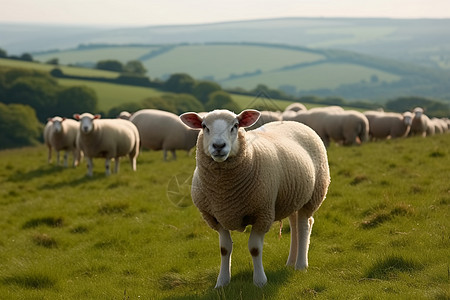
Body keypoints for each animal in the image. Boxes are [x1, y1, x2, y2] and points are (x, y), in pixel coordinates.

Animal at [179, 109, 330, 288]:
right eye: (204, 126)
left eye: (235, 125)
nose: (219, 146)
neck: (224, 193)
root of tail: (294, 122)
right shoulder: (216, 218)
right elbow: (224, 249)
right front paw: (222, 281)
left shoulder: (262, 214)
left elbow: (255, 249)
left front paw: (260, 281)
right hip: (293, 197)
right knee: (294, 226)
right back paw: (290, 262)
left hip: (314, 195)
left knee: (304, 226)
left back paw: (300, 265)